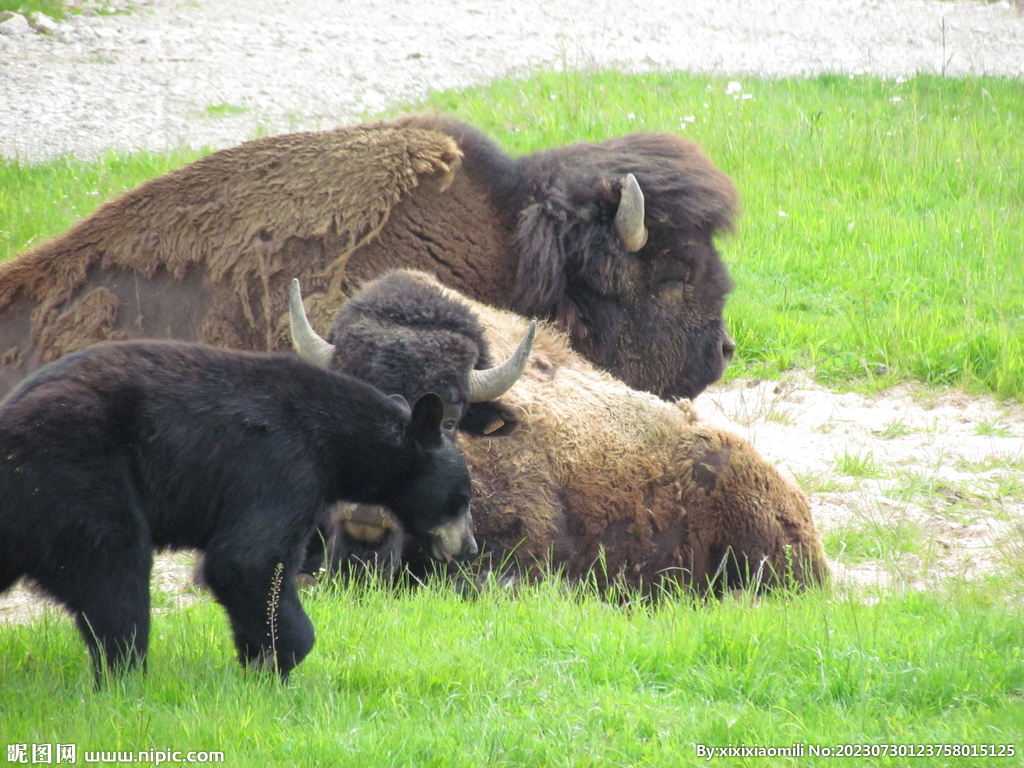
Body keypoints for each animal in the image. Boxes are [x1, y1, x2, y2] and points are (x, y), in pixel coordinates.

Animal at [0, 339, 471, 684]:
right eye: (462, 496)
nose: (468, 545)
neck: (338, 435)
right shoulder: (282, 460)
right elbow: (249, 559)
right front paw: (277, 664)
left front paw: (256, 661)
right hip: (76, 469)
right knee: (116, 572)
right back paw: (127, 678)